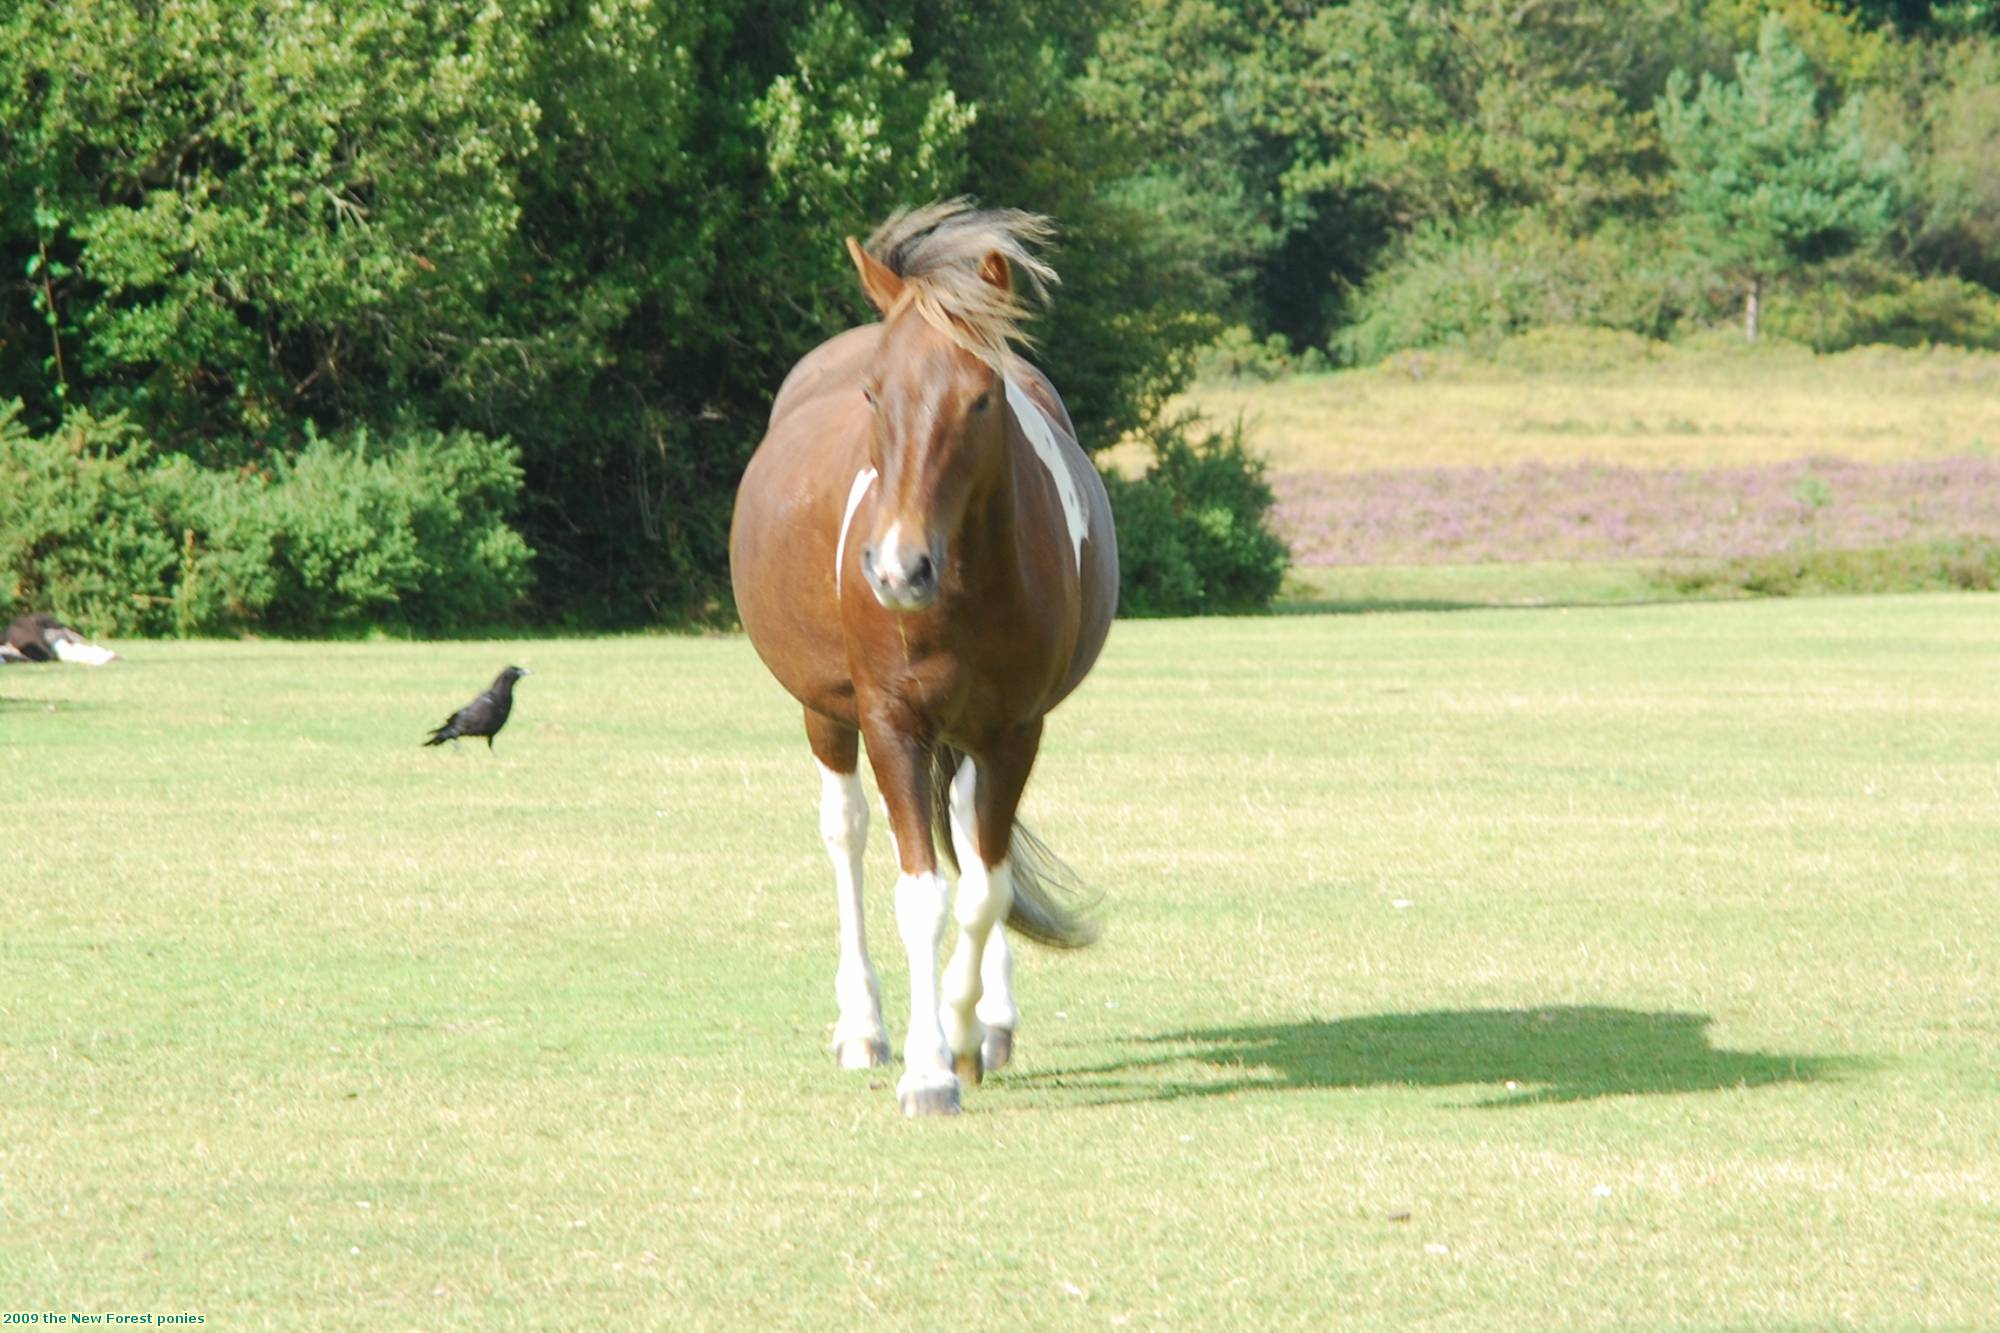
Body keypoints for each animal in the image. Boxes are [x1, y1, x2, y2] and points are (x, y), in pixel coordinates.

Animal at [736, 200, 1120, 1112]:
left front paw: (964, 1028)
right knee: (847, 835)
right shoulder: (892, 722)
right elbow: (921, 895)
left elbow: (985, 887)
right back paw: (864, 1025)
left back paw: (988, 1020)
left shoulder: (1013, 729)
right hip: (827, 714)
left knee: (976, 840)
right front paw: (926, 1066)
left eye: (982, 399)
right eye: (875, 392)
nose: (897, 568)